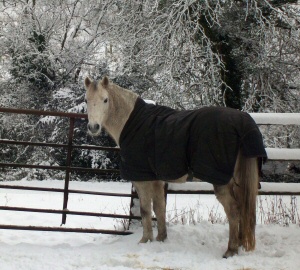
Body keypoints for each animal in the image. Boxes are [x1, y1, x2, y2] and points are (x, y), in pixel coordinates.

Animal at [83, 76, 266, 258]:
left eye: (105, 100)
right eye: (86, 100)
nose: (93, 127)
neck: (132, 122)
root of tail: (242, 121)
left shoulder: (142, 180)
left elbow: (145, 210)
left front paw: (145, 240)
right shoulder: (157, 181)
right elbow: (159, 208)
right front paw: (161, 238)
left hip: (222, 182)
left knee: (234, 211)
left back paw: (231, 249)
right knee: (243, 209)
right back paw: (240, 244)